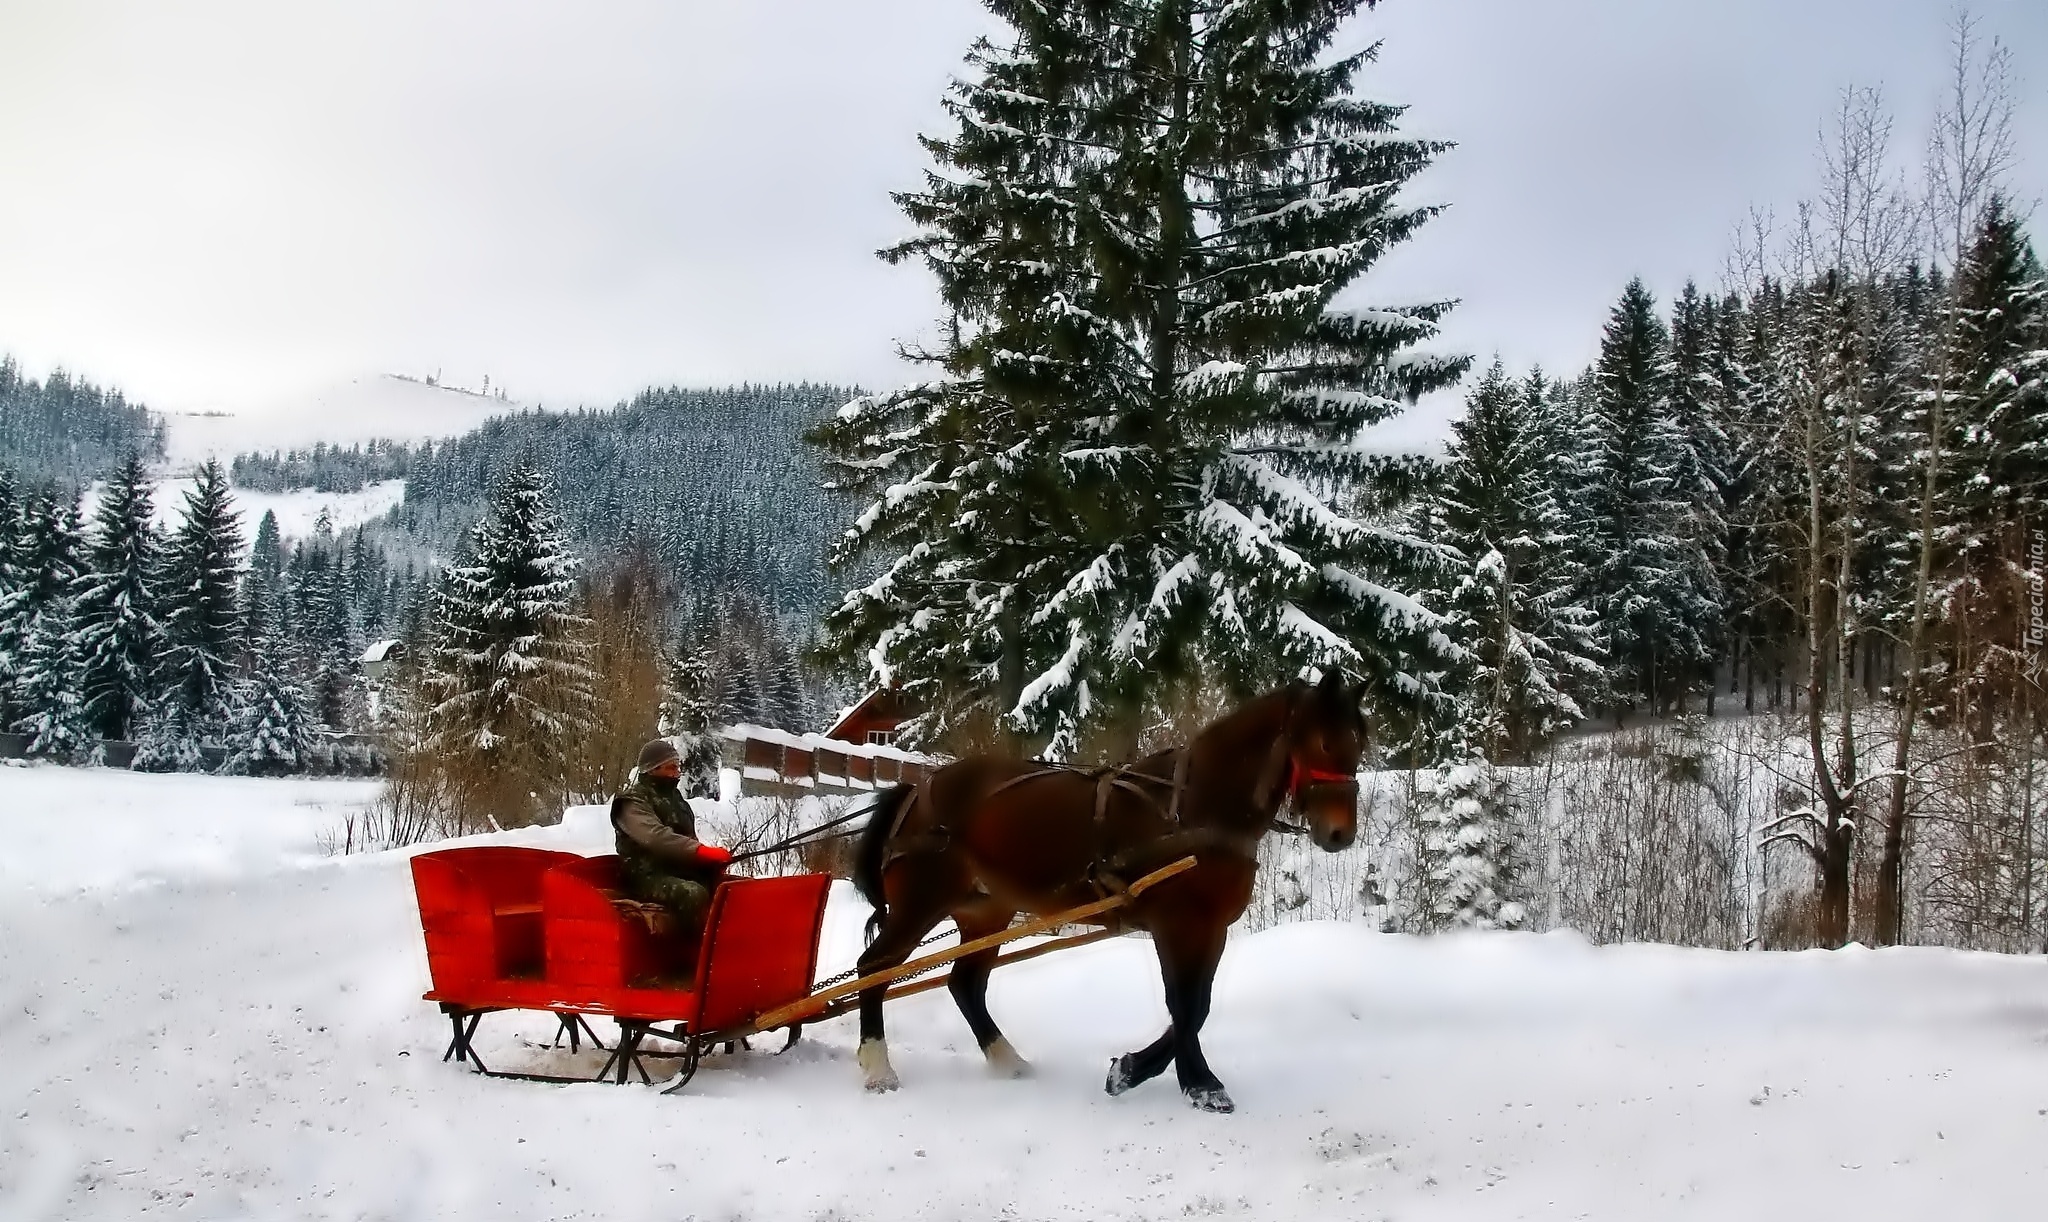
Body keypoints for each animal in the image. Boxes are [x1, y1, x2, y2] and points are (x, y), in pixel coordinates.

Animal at [847, 671, 1376, 1113]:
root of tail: (916, 789)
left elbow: (1198, 1006)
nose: (1340, 834)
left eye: (1360, 746)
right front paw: (1184, 1080)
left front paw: (1146, 1071)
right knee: (874, 968)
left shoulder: (1211, 929)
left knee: (965, 984)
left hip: (985, 910)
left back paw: (1007, 1060)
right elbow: (1184, 1005)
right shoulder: (1175, 924)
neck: (1195, 809)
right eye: (1323, 742)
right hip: (920, 902)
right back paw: (878, 1068)